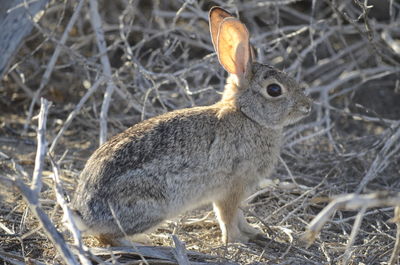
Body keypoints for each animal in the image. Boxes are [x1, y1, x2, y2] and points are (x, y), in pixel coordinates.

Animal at [71, 6, 312, 245]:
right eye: (274, 90)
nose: (307, 106)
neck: (248, 115)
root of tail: (84, 214)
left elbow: (239, 215)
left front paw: (252, 231)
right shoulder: (232, 187)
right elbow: (228, 216)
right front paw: (236, 240)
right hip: (150, 204)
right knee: (107, 237)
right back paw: (145, 242)